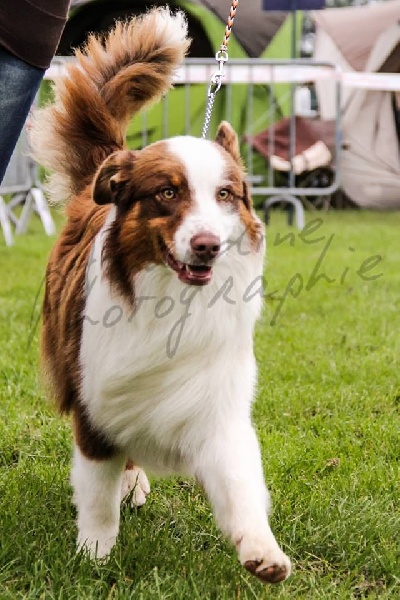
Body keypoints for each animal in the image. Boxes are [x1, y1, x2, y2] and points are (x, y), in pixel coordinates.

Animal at [30, 7, 291, 584]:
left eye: (225, 195)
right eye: (168, 192)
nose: (208, 245)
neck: (171, 300)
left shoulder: (215, 398)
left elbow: (240, 482)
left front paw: (262, 551)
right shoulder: (97, 399)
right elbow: (97, 493)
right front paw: (94, 555)